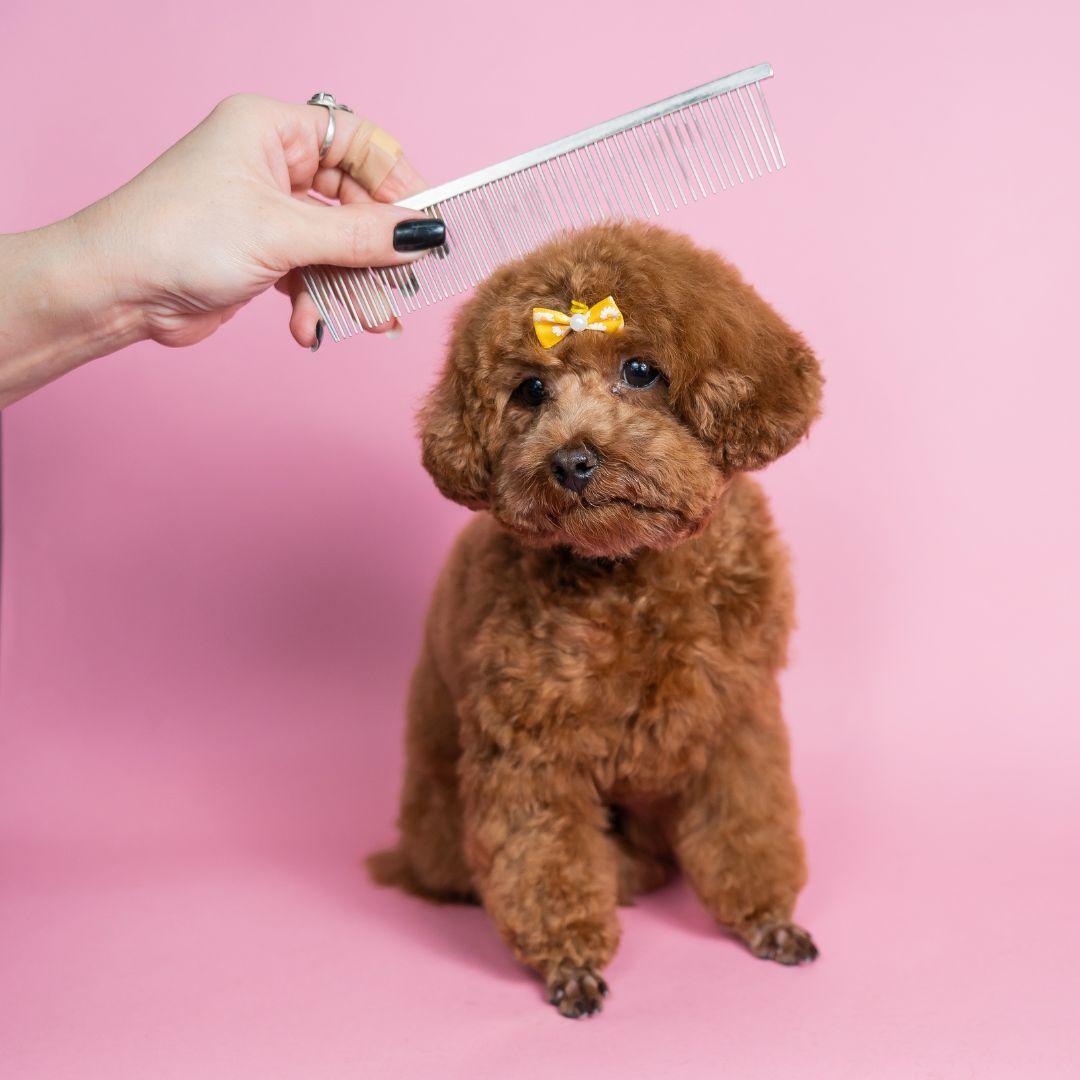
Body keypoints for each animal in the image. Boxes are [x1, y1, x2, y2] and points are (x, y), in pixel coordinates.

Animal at [367, 223, 820, 1015]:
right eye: (530, 390)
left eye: (641, 370)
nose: (572, 461)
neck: (634, 573)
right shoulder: (531, 751)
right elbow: (545, 860)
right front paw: (569, 961)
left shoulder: (738, 718)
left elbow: (747, 823)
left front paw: (767, 918)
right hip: (444, 816)